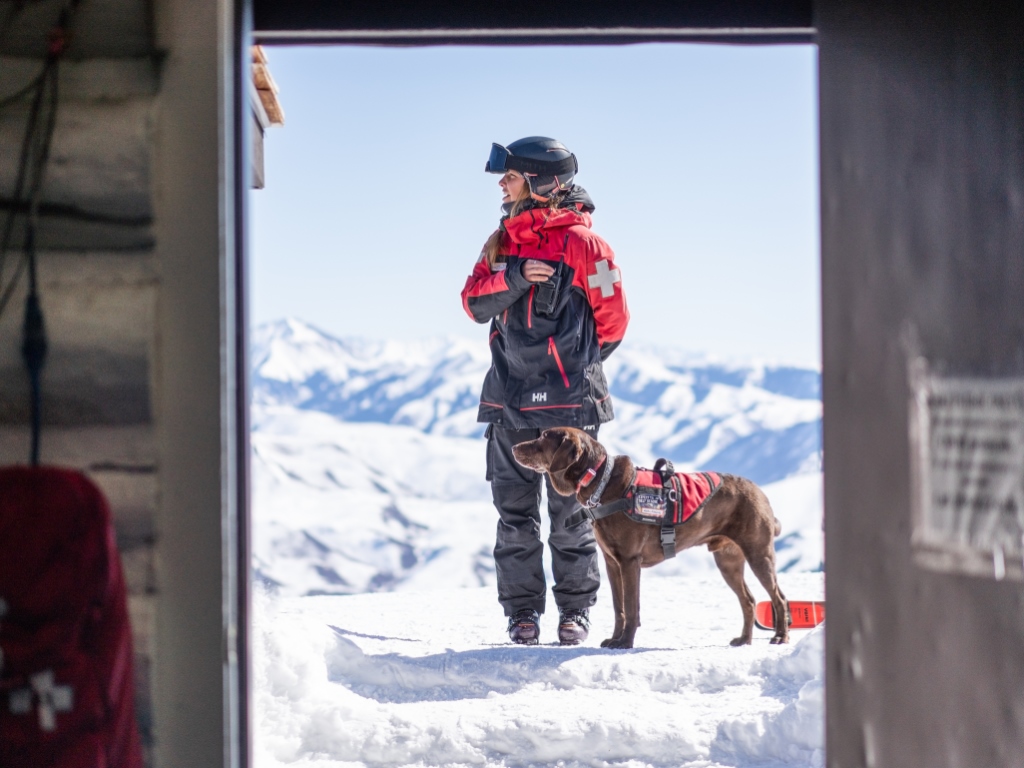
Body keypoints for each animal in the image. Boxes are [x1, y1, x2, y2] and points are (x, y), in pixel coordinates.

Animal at [512, 428, 790, 651]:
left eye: (543, 437)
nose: (513, 446)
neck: (601, 483)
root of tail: (760, 492)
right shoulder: (612, 563)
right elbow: (619, 608)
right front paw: (614, 639)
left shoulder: (629, 561)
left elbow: (631, 607)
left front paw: (625, 642)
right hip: (727, 560)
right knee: (749, 600)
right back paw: (744, 640)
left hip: (758, 554)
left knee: (779, 598)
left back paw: (780, 637)